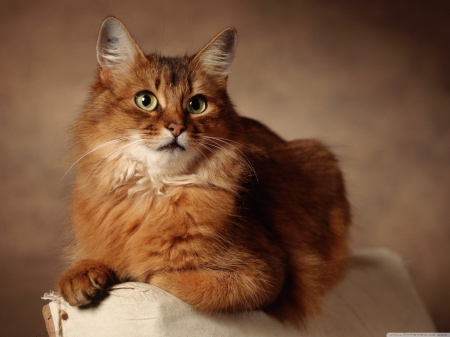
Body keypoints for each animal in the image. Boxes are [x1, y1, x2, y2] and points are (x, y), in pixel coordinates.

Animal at [57, 16, 352, 326]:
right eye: (146, 100)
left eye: (196, 105)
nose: (176, 127)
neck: (156, 190)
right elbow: (85, 263)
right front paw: (82, 275)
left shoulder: (266, 274)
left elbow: (162, 276)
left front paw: (127, 271)